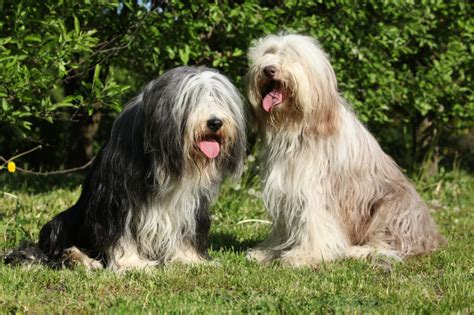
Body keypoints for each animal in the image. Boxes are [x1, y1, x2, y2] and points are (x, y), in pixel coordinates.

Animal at [5, 66, 246, 272]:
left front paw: (190, 258)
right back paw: (80, 258)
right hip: (63, 222)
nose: (215, 122)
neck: (163, 160)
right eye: (191, 100)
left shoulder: (192, 204)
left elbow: (188, 230)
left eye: (219, 98)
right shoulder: (117, 199)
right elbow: (122, 233)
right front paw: (132, 263)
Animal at [246, 34, 442, 266]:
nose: (269, 70)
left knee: (388, 245)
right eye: (268, 53)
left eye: (292, 56)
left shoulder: (314, 188)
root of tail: (429, 237)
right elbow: (283, 228)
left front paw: (307, 255)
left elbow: (315, 222)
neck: (298, 127)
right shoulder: (285, 191)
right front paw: (268, 252)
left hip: (390, 207)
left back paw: (355, 251)